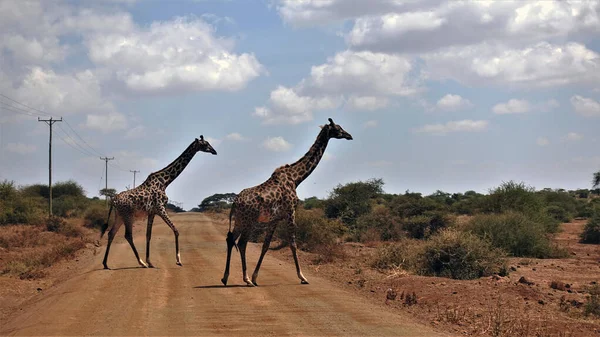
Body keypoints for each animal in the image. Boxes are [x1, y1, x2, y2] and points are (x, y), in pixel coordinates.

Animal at [99, 135, 217, 270]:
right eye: (205, 144)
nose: (214, 151)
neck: (165, 182)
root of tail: (113, 200)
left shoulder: (152, 212)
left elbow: (148, 235)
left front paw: (150, 261)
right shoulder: (161, 208)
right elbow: (176, 230)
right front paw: (178, 260)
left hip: (119, 215)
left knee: (111, 233)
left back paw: (106, 264)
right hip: (128, 215)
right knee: (128, 235)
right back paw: (141, 263)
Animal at [220, 118, 352, 286]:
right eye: (338, 128)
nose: (349, 135)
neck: (296, 179)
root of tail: (235, 203)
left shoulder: (274, 219)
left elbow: (265, 245)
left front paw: (256, 277)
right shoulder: (291, 212)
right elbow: (293, 244)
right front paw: (302, 277)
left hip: (240, 220)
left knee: (231, 239)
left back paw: (226, 277)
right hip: (249, 221)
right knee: (242, 243)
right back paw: (246, 279)